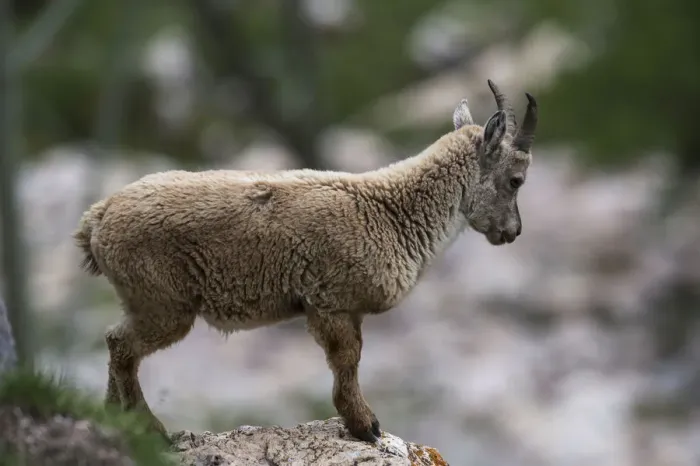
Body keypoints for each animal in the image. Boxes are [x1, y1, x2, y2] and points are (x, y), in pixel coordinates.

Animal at [73, 80, 538, 443]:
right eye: (516, 179)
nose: (513, 232)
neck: (391, 211)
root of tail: (97, 218)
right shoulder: (331, 303)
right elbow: (347, 361)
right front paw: (365, 426)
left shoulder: (341, 308)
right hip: (164, 304)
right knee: (123, 346)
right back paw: (150, 428)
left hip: (142, 301)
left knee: (115, 341)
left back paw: (114, 419)